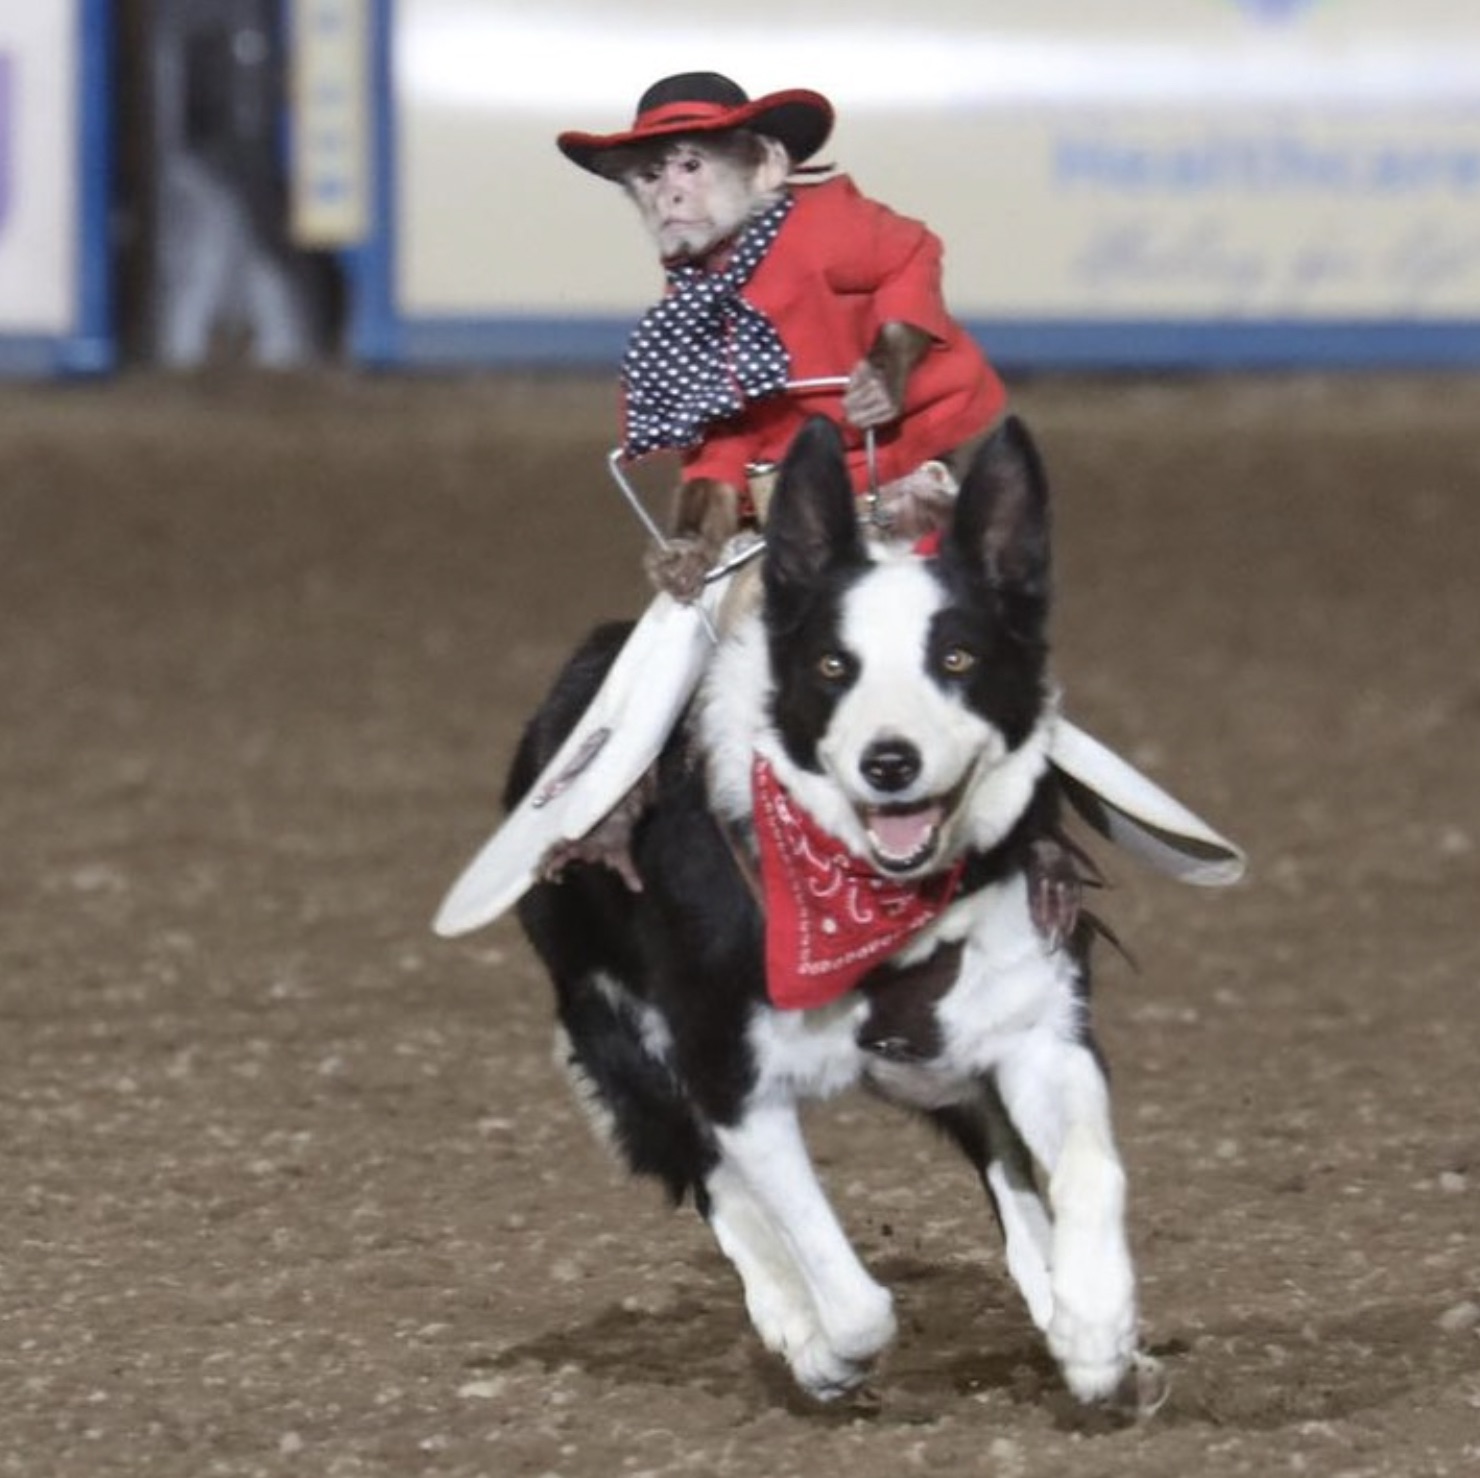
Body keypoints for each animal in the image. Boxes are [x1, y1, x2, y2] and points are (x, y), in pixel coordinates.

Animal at [506, 414, 1142, 1408]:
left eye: (957, 657)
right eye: (834, 665)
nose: (890, 762)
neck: (874, 912)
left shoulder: (1035, 1024)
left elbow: (1087, 1167)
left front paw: (1096, 1331)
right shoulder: (731, 1077)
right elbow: (842, 1283)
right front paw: (821, 1347)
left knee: (1004, 1163)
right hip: (617, 1029)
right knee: (708, 1178)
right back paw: (789, 1319)